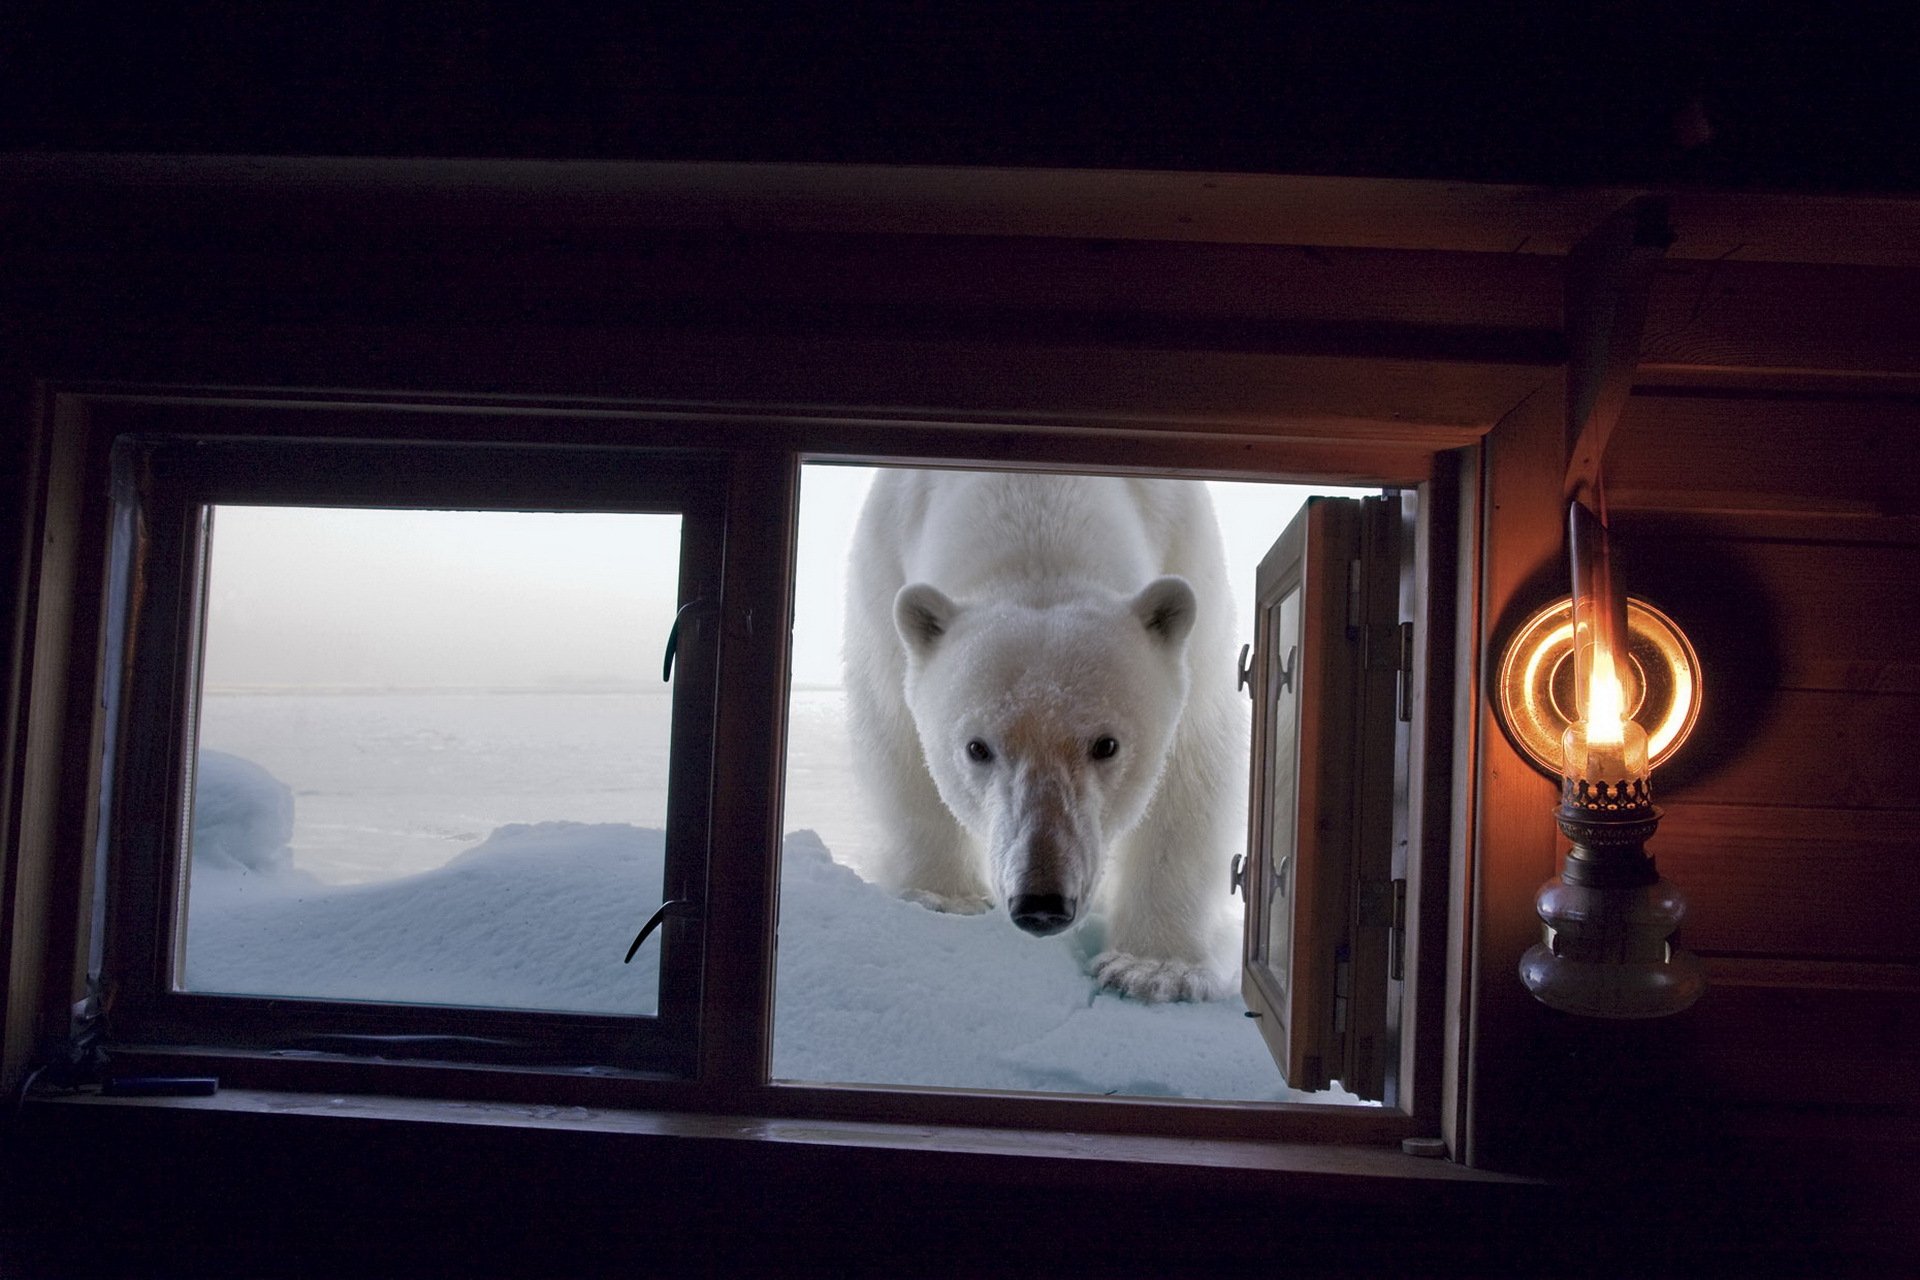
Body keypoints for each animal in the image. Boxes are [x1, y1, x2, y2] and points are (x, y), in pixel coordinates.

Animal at [843, 469, 1246, 1001]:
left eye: (1106, 745)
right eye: (977, 748)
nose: (1042, 902)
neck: (1036, 495)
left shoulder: (1188, 558)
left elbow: (1190, 767)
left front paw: (1153, 968)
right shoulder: (883, 568)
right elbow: (898, 738)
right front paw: (944, 897)